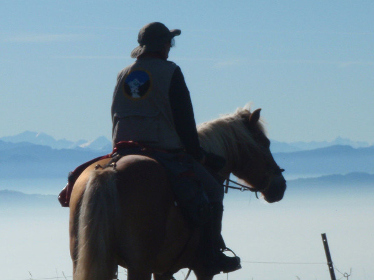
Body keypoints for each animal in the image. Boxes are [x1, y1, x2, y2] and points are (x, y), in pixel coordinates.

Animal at [69, 106, 286, 280]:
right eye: (265, 143)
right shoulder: (203, 269)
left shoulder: (162, 270)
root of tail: (109, 169)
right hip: (139, 266)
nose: (280, 186)